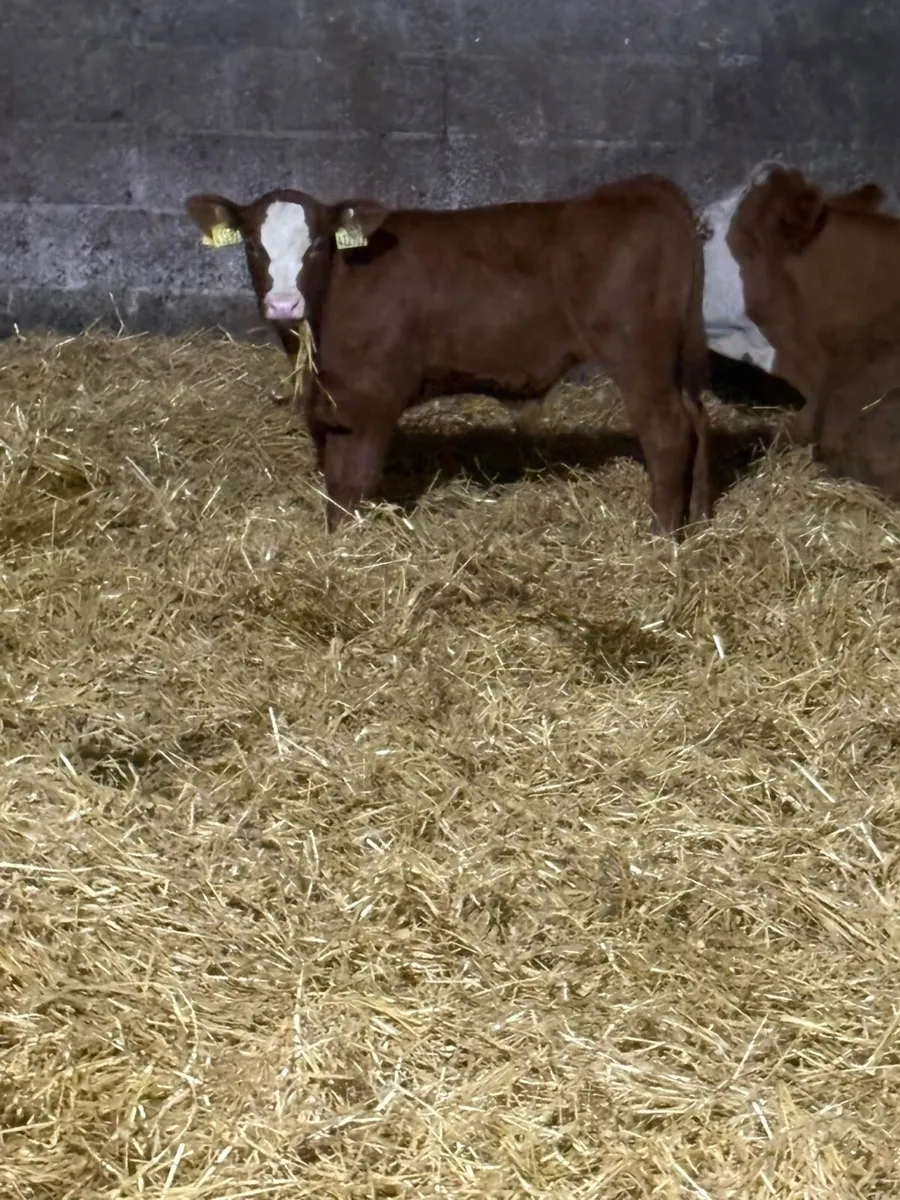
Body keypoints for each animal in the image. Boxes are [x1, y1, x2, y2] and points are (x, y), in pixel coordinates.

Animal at [185, 175, 711, 536]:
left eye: (315, 244)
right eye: (252, 245)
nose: (282, 304)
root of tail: (648, 186)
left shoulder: (374, 399)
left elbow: (355, 483)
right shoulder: (333, 405)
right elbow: (334, 487)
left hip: (638, 356)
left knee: (667, 433)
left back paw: (661, 536)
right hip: (675, 360)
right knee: (698, 422)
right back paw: (697, 523)